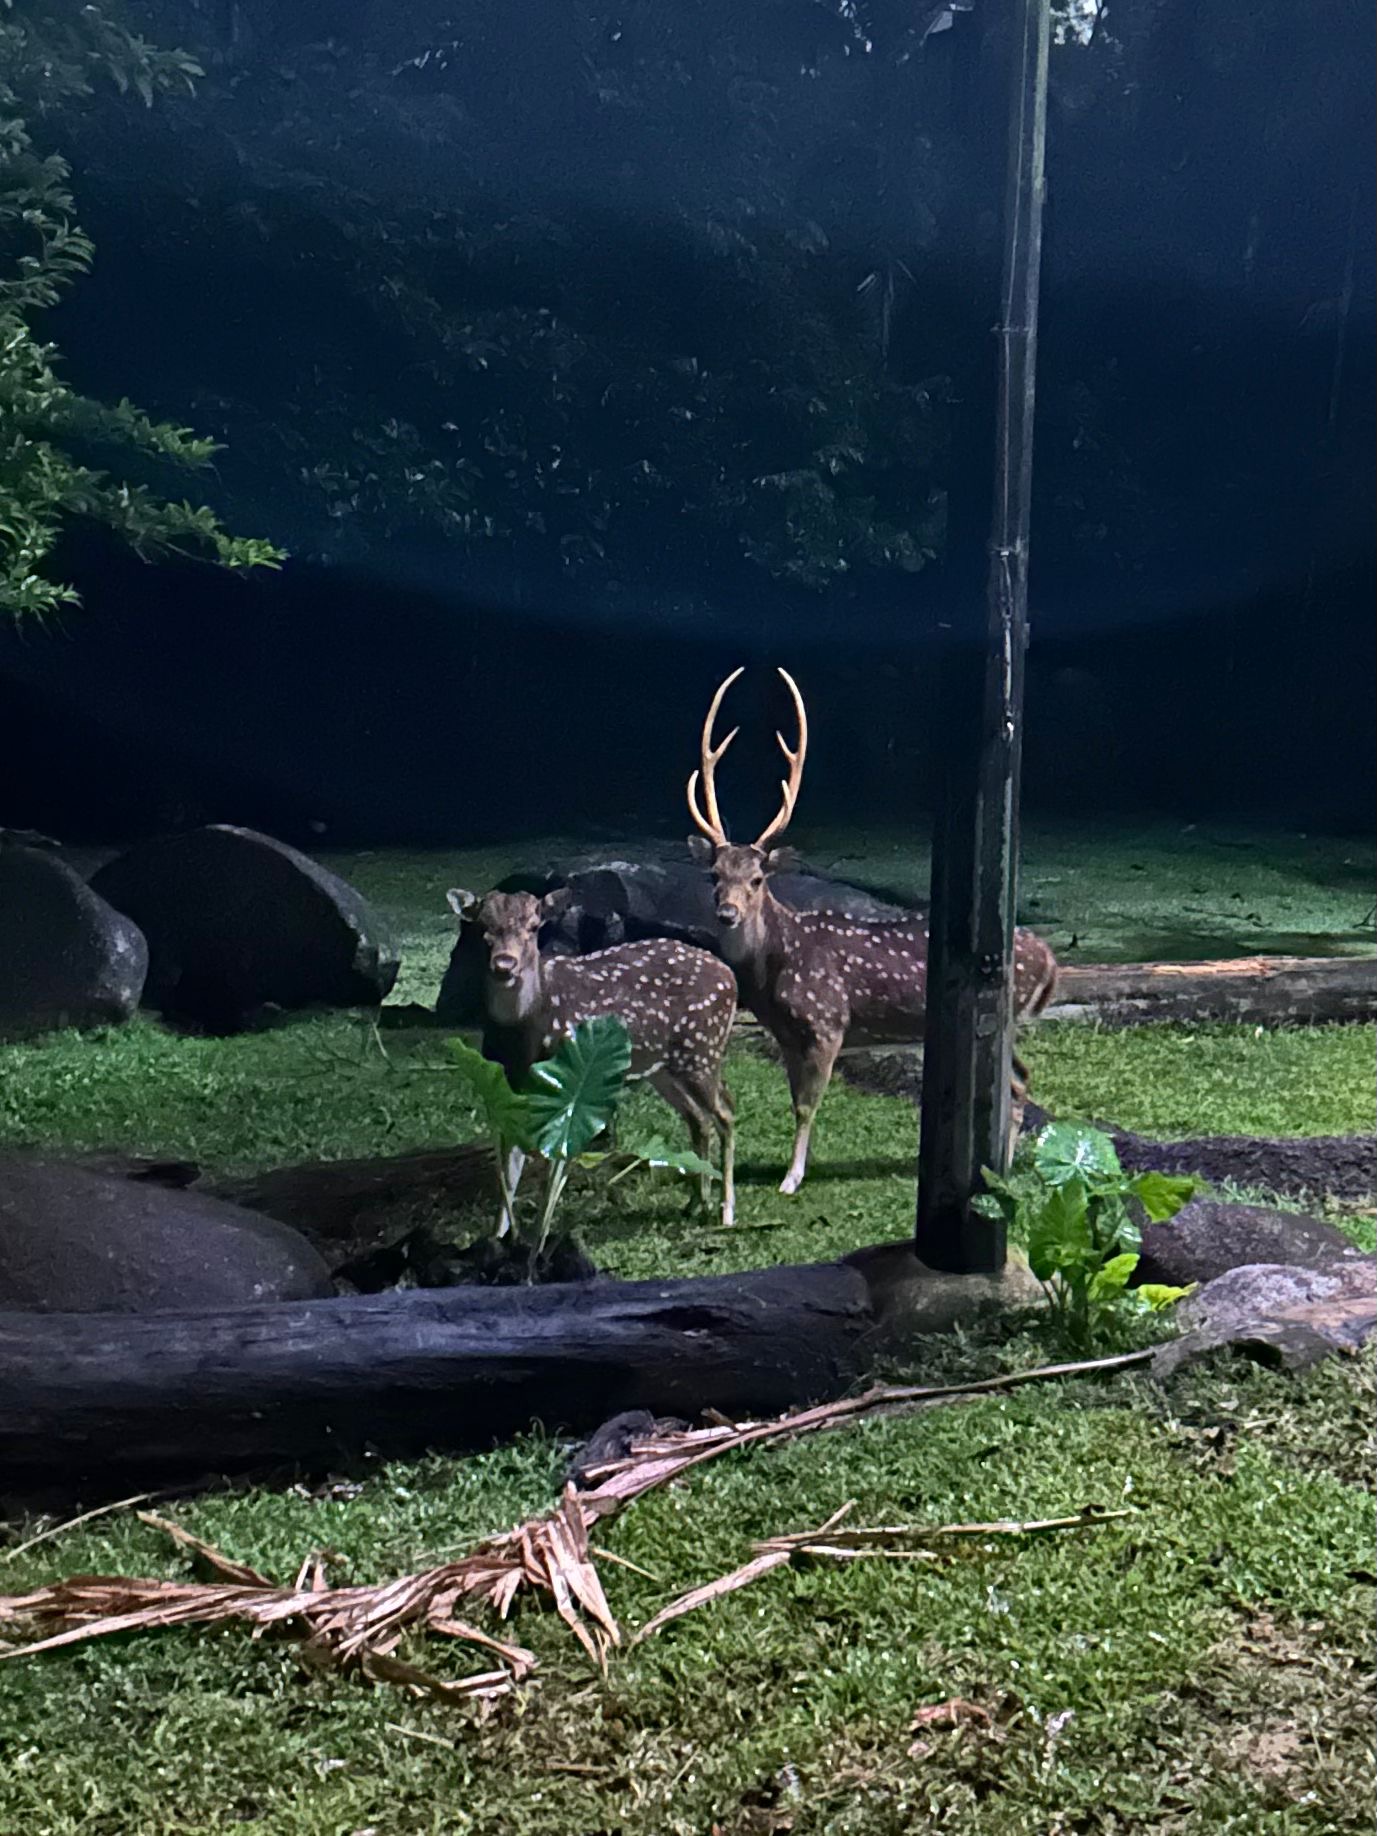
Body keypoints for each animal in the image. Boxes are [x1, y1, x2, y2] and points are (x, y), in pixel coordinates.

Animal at [446, 887, 738, 1227]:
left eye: (533, 926)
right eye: (482, 927)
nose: (505, 963)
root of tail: (731, 977)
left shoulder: (568, 1089)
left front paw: (539, 1231)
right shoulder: (508, 1085)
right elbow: (508, 1170)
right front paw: (500, 1234)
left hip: (702, 1051)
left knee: (725, 1113)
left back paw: (726, 1210)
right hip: (663, 1067)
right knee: (699, 1118)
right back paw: (695, 1202)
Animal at [685, 668, 1058, 1196]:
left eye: (756, 879)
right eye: (714, 875)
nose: (727, 913)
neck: (775, 969)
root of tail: (1051, 961)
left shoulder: (828, 1020)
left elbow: (807, 1104)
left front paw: (792, 1178)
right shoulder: (785, 1033)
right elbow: (794, 1098)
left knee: (1017, 1084)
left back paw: (1000, 1171)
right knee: (1023, 1077)